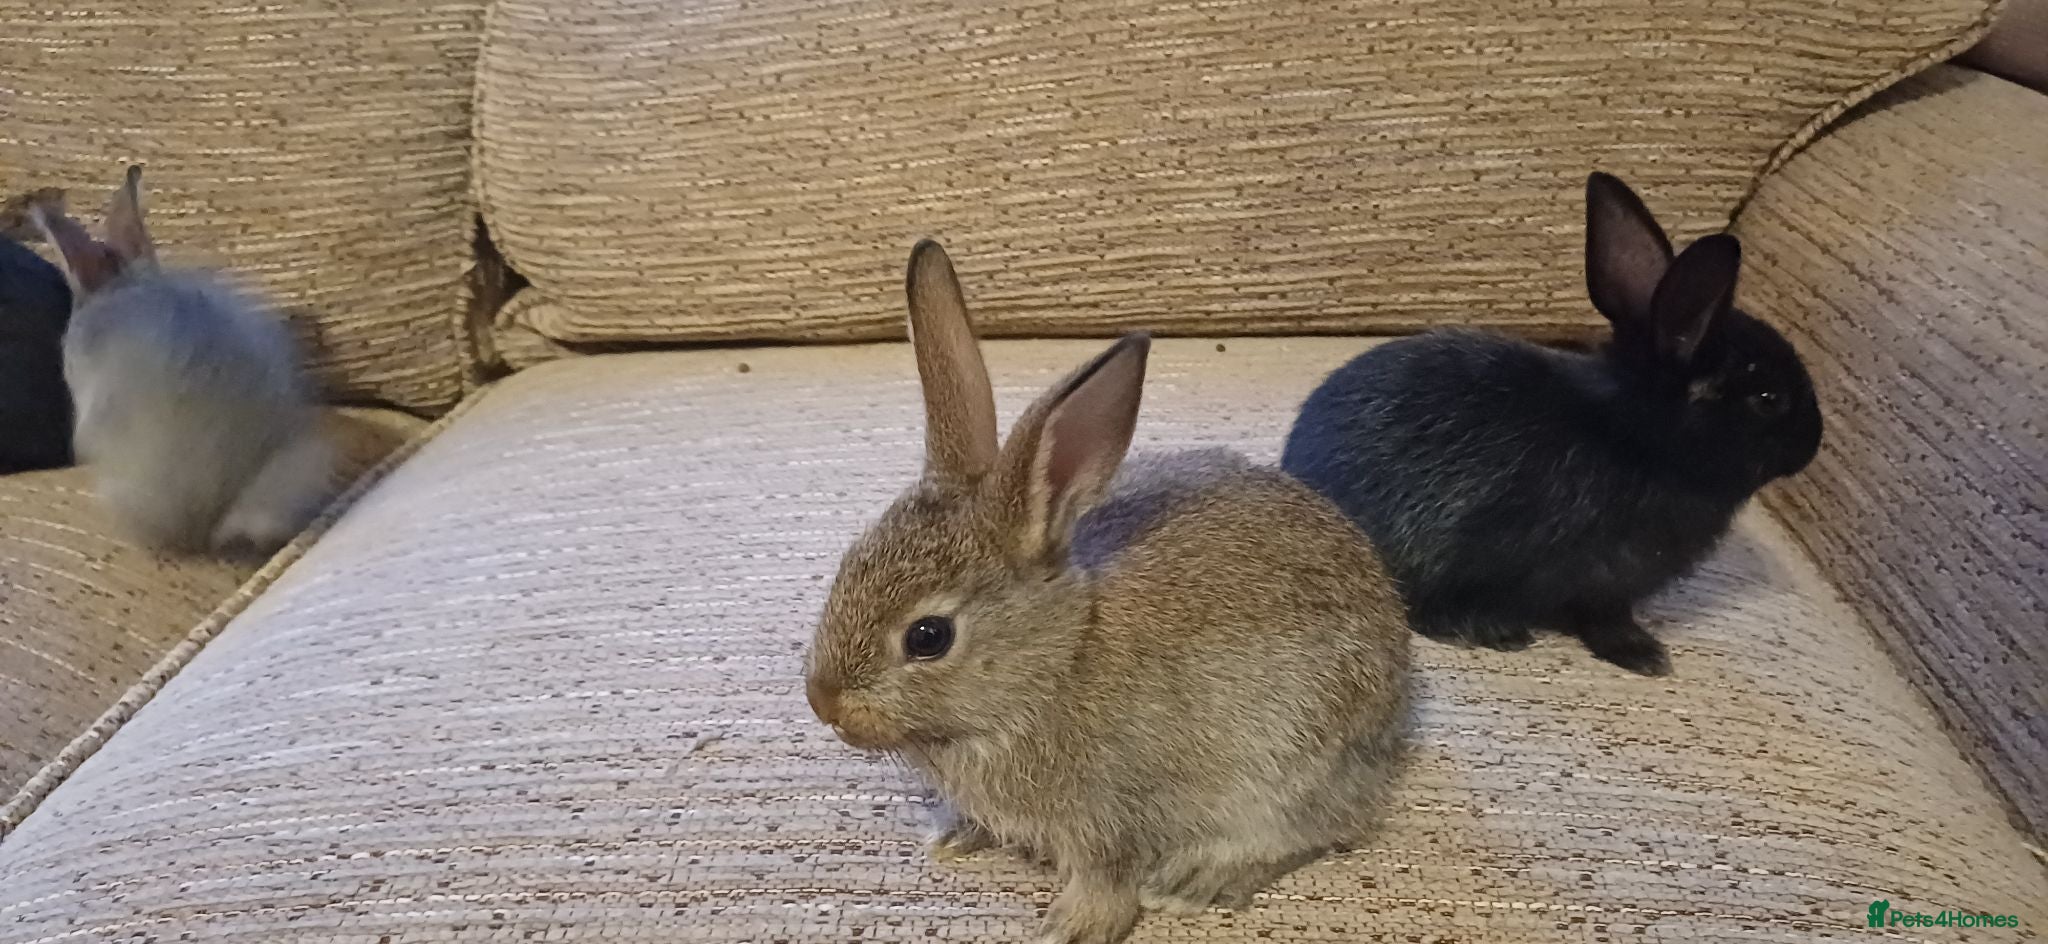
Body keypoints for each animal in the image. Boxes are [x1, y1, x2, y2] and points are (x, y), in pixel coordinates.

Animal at [805, 240, 1410, 944]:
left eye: (929, 637)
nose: (824, 703)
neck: (1053, 662)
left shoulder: (1111, 815)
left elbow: (1108, 876)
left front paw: (1073, 926)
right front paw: (956, 834)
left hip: (1296, 760)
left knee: (1307, 831)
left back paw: (1195, 881)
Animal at [1280, 172, 1824, 676]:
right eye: (1768, 398)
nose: (1813, 444)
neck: (1637, 437)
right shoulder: (1593, 579)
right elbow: (1601, 620)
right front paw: (1642, 655)